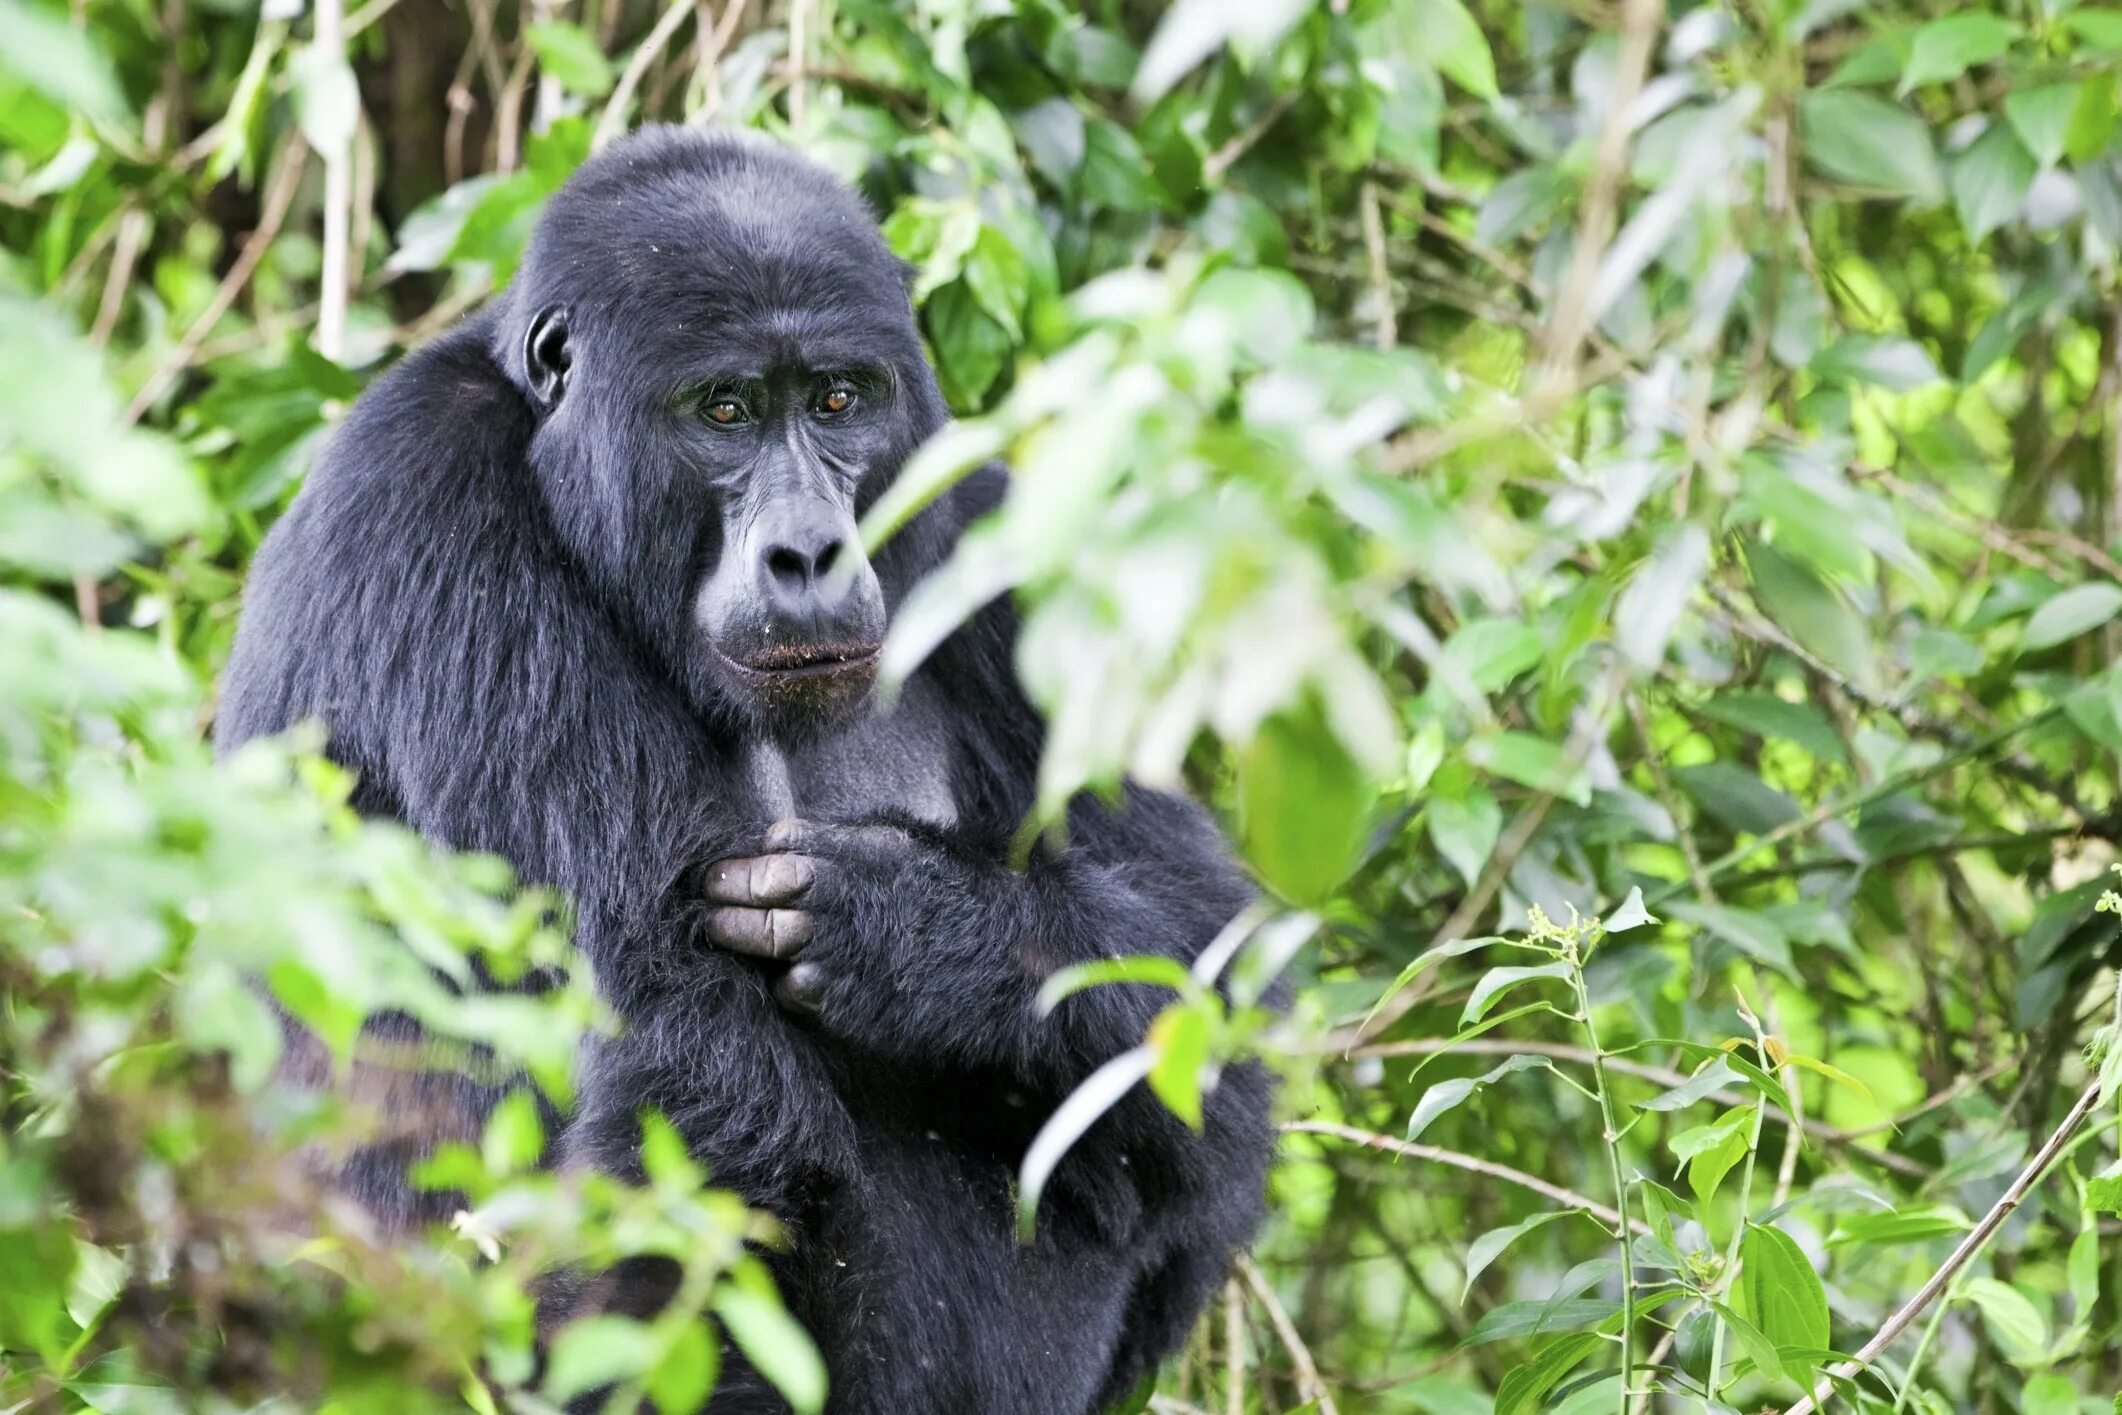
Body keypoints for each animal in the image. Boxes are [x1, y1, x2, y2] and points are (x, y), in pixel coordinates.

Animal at [217, 127, 1273, 1408]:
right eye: (723, 409)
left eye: (836, 400)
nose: (809, 549)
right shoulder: (428, 495)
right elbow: (696, 1089)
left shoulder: (986, 519)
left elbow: (1203, 967)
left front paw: (928, 934)